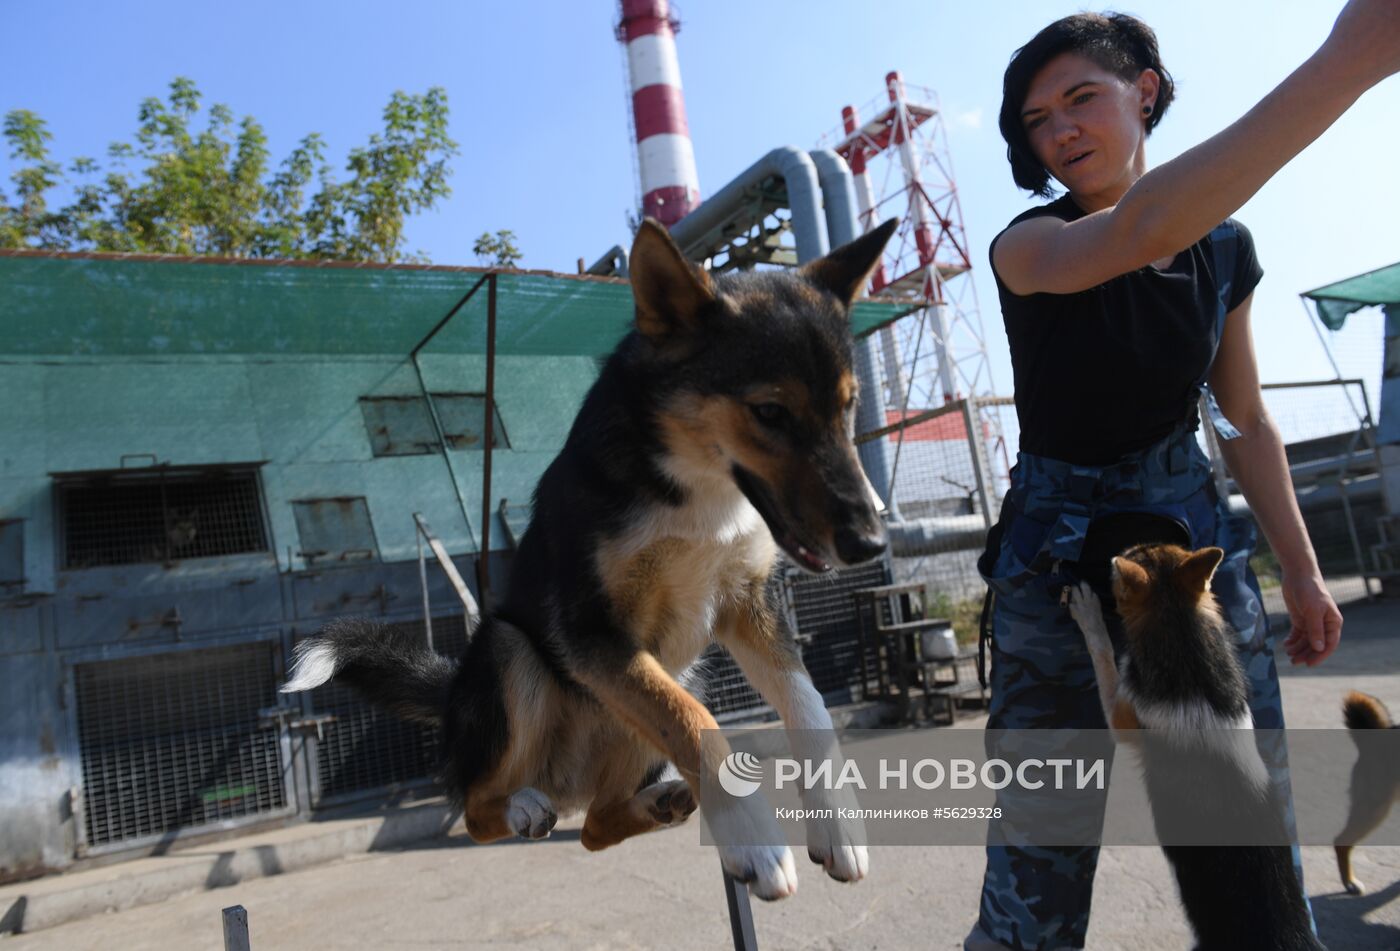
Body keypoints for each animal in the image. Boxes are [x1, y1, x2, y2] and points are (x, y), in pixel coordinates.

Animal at [281, 214, 896, 901]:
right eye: (769, 412)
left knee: (595, 827)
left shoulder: (748, 606)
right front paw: (754, 838)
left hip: (670, 678)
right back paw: (520, 806)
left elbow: (808, 706)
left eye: (849, 406)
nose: (871, 542)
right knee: (475, 808)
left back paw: (658, 804)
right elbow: (694, 721)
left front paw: (840, 830)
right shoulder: (588, 632)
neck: (693, 483)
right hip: (511, 654)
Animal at [1064, 543, 1327, 951]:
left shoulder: (1122, 715)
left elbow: (1104, 652)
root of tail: (1291, 936)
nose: (1112, 554)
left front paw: (1087, 611)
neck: (1181, 631)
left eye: (1130, 554)